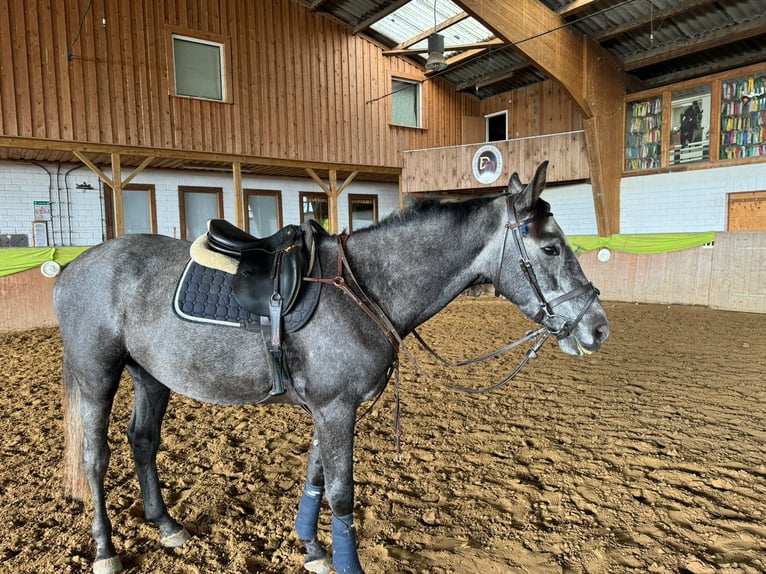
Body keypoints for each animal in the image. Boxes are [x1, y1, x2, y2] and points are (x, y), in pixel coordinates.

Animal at [55, 162, 612, 574]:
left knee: (143, 440)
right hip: (97, 375)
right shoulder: (336, 409)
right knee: (95, 458)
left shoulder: (331, 409)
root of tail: (72, 268)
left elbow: (316, 477)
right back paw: (105, 551)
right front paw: (345, 562)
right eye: (550, 247)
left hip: (151, 376)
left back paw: (167, 526)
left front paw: (313, 550)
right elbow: (342, 494)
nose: (597, 328)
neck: (365, 290)